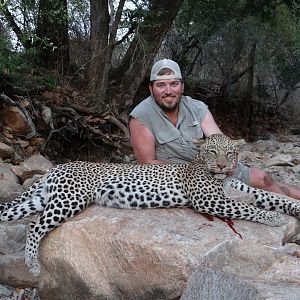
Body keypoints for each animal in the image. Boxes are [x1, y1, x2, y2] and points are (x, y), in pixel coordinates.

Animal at [0, 134, 300, 276]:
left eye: (230, 152)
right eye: (212, 152)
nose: (222, 166)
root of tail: (56, 168)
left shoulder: (239, 189)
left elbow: (273, 198)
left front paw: (291, 209)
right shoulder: (209, 200)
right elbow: (248, 208)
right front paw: (273, 219)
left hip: (40, 198)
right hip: (68, 199)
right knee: (35, 225)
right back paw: (33, 265)